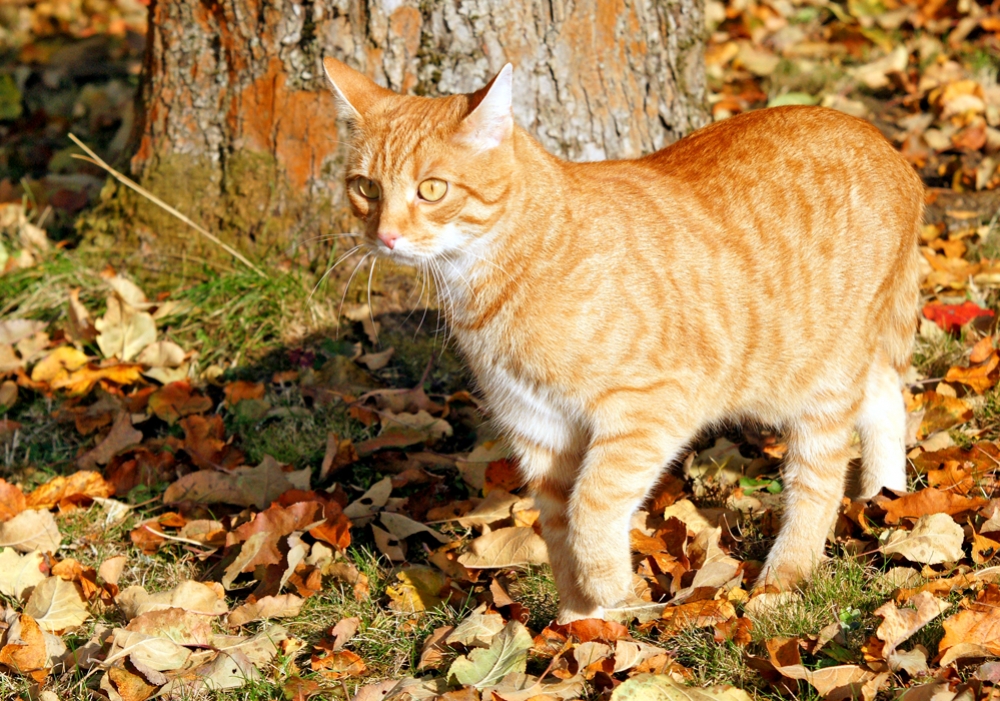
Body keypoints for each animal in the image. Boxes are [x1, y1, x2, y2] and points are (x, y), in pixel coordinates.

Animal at [322, 57, 920, 620]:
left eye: (431, 190)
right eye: (366, 188)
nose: (385, 236)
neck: (493, 285)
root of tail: (882, 142)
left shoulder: (650, 407)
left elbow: (592, 503)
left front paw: (608, 584)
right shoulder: (539, 429)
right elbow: (559, 526)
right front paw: (579, 623)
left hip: (818, 383)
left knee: (820, 479)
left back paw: (784, 578)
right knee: (886, 398)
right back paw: (885, 495)